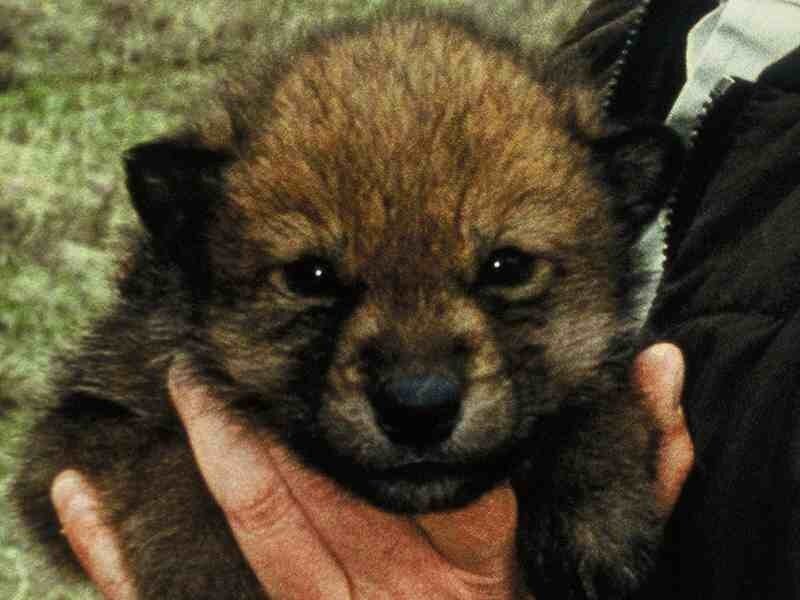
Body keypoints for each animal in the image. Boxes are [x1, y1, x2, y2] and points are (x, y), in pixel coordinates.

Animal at [12, 8, 682, 600]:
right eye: (309, 276)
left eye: (508, 266)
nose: (419, 409)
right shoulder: (75, 437)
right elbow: (173, 469)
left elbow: (598, 397)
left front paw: (596, 509)